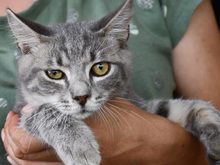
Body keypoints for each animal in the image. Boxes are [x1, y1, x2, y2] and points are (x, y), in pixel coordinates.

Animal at [6, 0, 220, 164]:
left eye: (100, 68)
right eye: (54, 74)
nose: (81, 97)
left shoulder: (142, 105)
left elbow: (186, 107)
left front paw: (215, 129)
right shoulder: (20, 112)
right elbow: (45, 112)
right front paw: (78, 144)